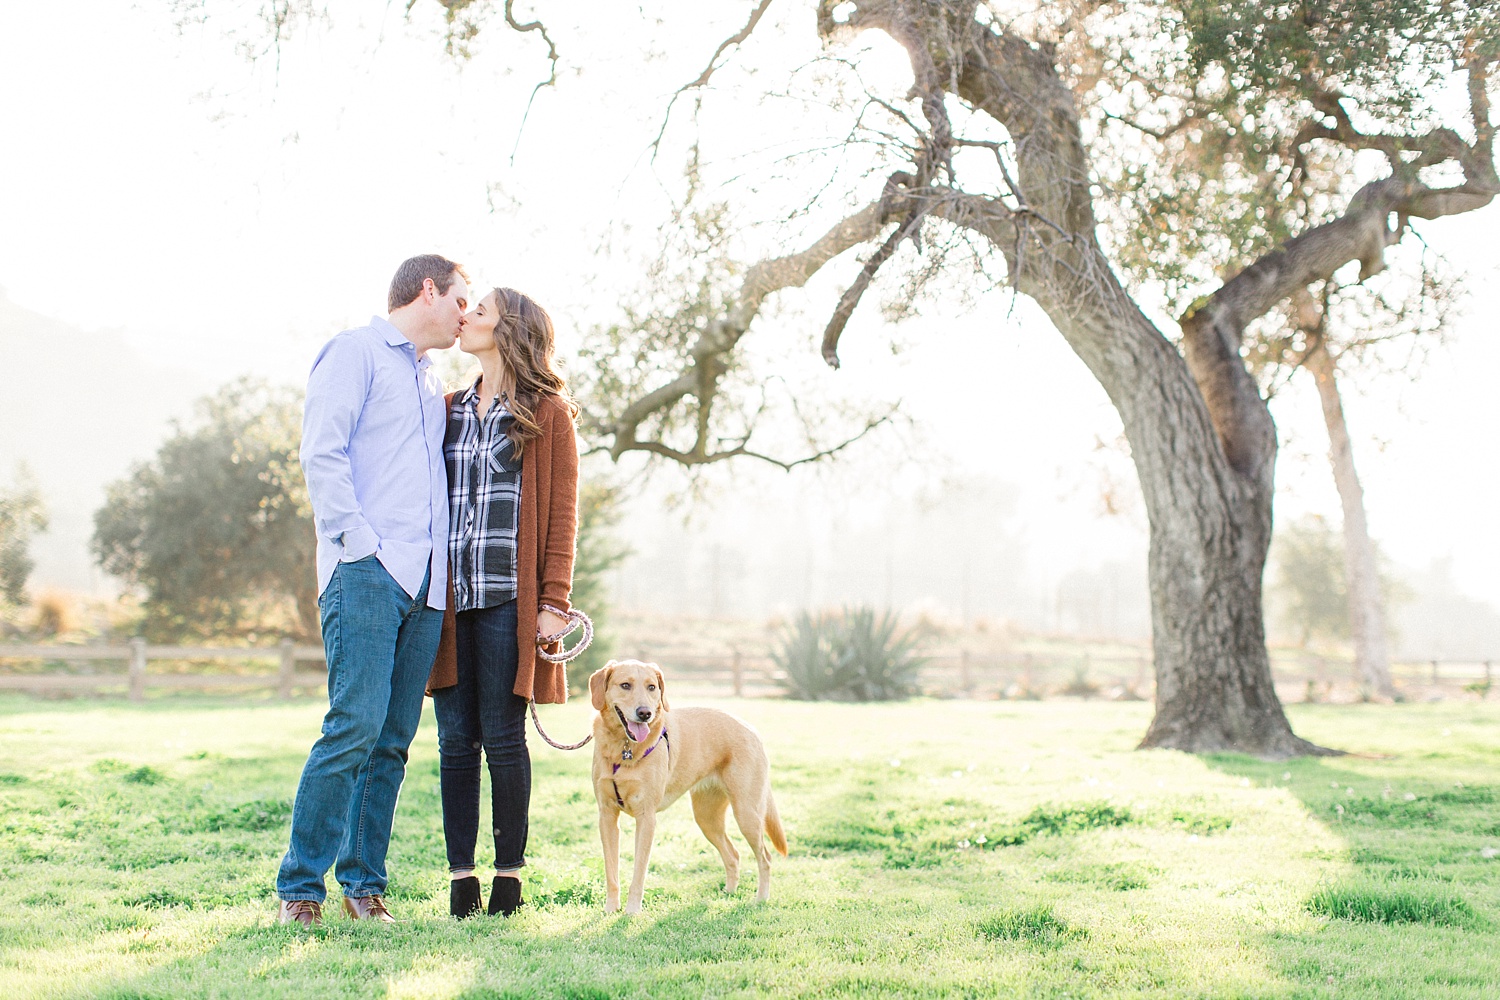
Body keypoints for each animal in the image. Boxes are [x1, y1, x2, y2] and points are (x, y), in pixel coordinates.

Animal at [588, 659, 792, 911]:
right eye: (625, 685)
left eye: (651, 687)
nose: (645, 713)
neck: (623, 749)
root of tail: (750, 728)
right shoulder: (607, 816)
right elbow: (611, 873)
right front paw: (610, 909)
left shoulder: (646, 818)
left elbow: (638, 873)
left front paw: (632, 911)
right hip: (707, 818)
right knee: (733, 855)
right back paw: (729, 893)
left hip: (747, 814)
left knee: (765, 858)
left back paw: (761, 899)